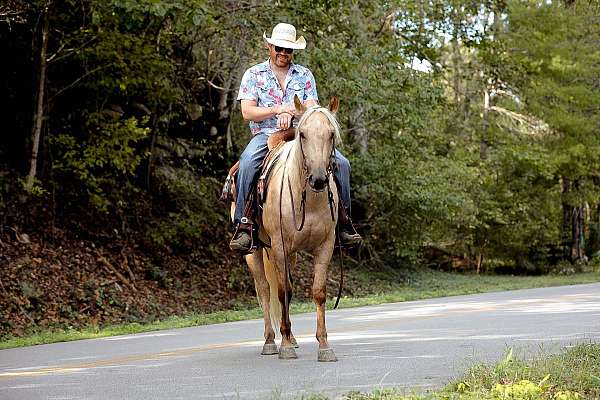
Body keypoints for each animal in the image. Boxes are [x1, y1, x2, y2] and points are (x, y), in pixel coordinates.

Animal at [233, 95, 340, 360]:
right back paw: (271, 341)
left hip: (287, 255)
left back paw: (290, 337)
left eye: (331, 134)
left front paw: (324, 346)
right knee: (264, 289)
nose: (319, 179)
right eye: (302, 134)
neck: (308, 201)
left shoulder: (325, 246)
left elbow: (318, 292)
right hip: (256, 252)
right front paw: (285, 347)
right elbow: (280, 292)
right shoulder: (280, 246)